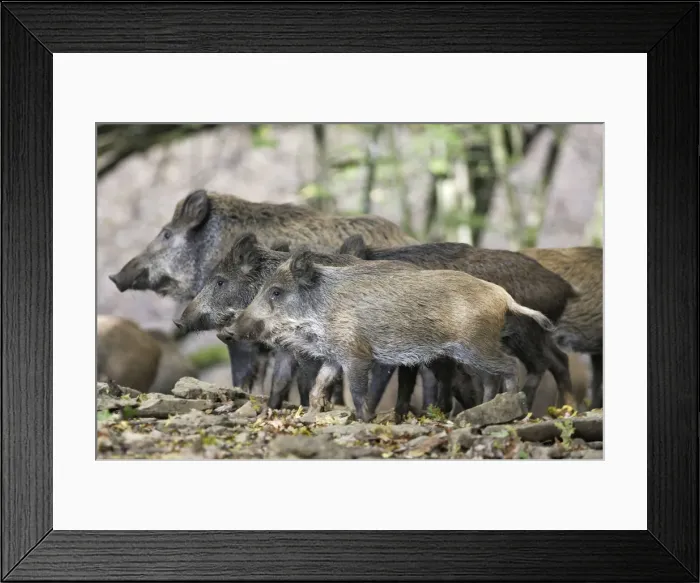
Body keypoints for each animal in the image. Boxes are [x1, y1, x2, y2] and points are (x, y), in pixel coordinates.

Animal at [232, 249, 556, 422]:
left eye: (276, 292)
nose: (233, 328)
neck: (322, 309)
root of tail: (504, 297)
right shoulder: (335, 356)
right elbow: (318, 386)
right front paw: (314, 414)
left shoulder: (357, 355)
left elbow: (358, 391)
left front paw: (365, 420)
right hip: (473, 351)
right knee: (491, 378)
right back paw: (482, 409)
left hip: (476, 345)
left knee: (509, 366)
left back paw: (510, 404)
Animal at [338, 235, 579, 414]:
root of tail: (564, 287)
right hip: (537, 335)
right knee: (558, 360)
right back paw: (566, 410)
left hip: (524, 333)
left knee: (539, 364)